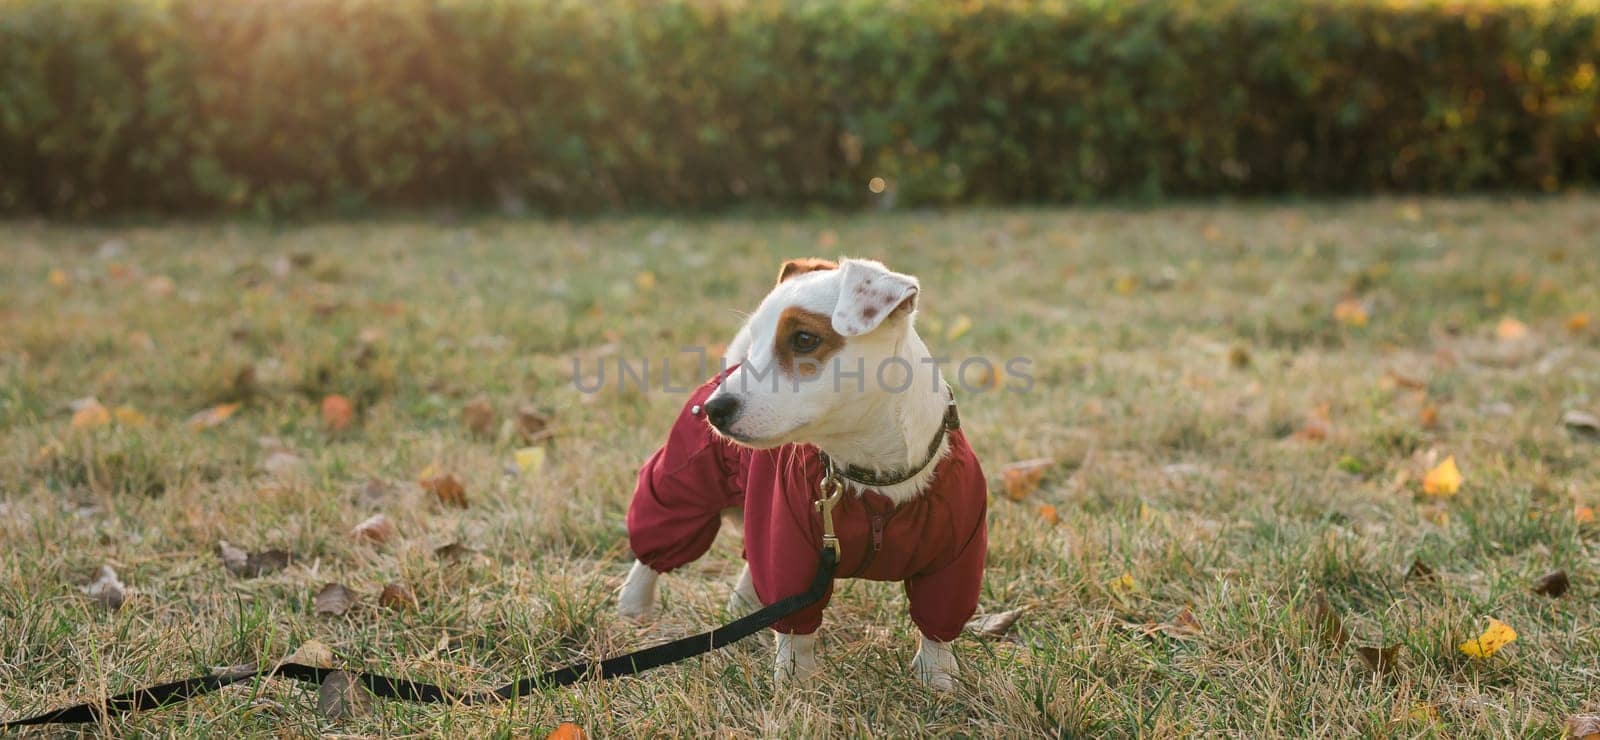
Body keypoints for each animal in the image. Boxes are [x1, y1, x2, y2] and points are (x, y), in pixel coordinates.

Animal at [614, 257, 979, 691]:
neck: (869, 478)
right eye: (755, 339)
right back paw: (633, 607)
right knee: (654, 547)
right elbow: (794, 630)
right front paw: (795, 684)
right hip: (682, 486)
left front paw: (937, 681)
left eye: (804, 339)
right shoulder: (788, 543)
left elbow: (938, 627)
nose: (714, 409)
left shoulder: (955, 558)